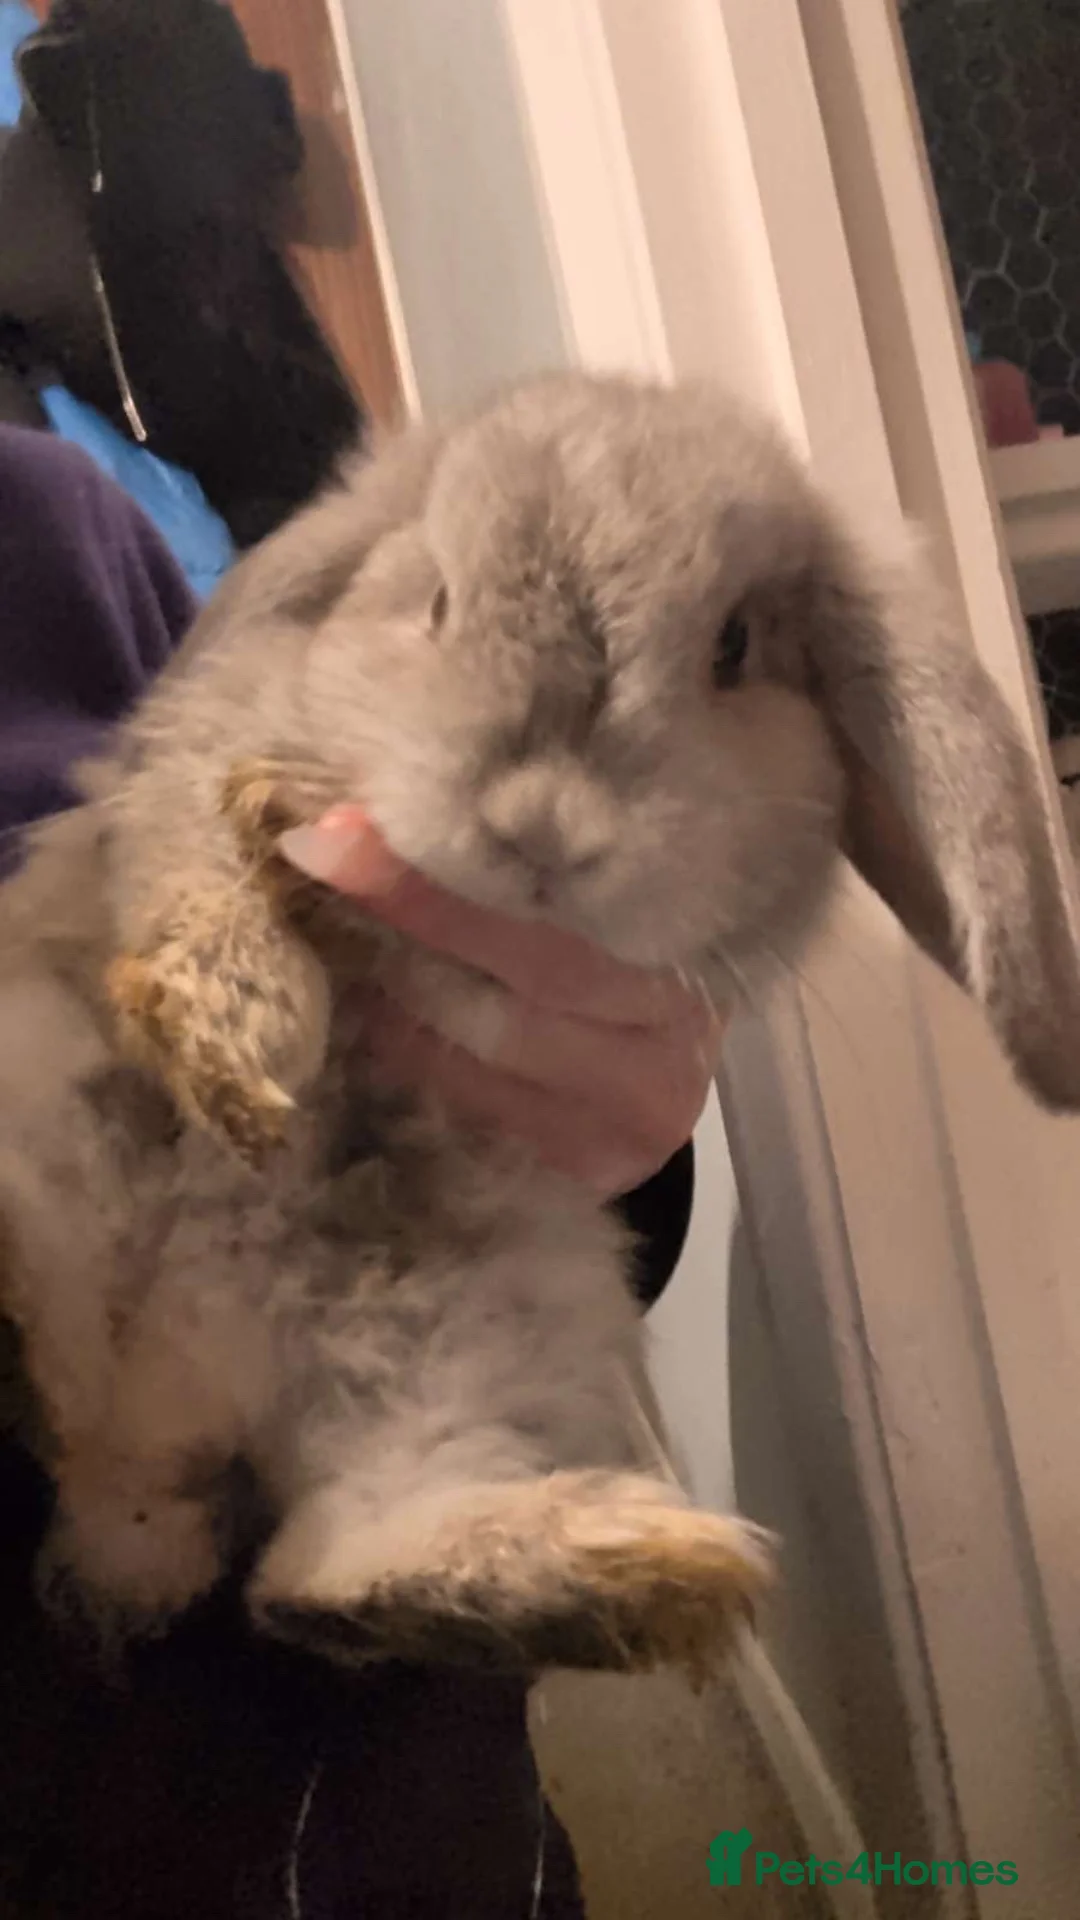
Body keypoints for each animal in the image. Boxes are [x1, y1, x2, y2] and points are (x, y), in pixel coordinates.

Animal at [3, 368, 1080, 1680]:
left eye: (733, 648)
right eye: (436, 601)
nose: (542, 826)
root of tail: (159, 1418)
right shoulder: (192, 781)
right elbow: (200, 866)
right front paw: (247, 1049)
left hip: (471, 1345)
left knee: (318, 1571)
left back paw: (636, 1569)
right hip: (41, 1080)